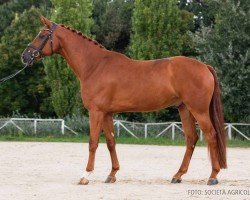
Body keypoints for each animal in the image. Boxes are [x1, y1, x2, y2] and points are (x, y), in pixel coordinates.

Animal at [22, 17, 227, 186]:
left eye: (42, 35)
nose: (25, 56)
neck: (94, 66)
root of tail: (204, 66)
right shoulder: (107, 113)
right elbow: (111, 142)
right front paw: (112, 174)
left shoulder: (96, 112)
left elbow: (93, 142)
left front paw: (86, 176)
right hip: (184, 109)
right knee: (191, 138)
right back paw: (178, 175)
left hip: (198, 110)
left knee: (211, 135)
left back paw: (213, 176)